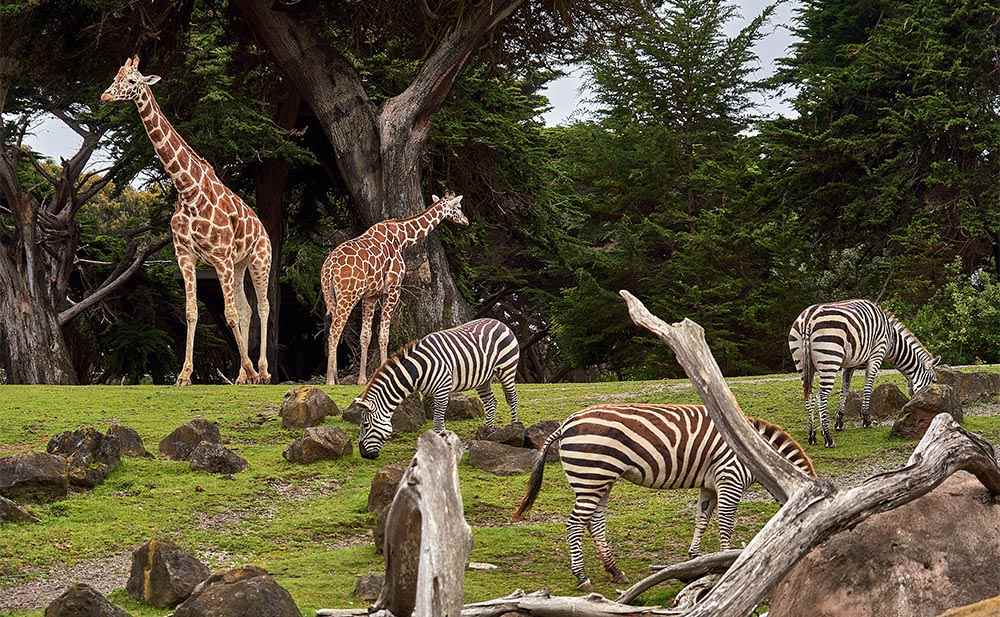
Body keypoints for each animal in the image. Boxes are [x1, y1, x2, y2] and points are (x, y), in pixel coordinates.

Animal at [101, 56, 272, 385]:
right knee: (247, 308)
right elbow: (193, 311)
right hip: (240, 264)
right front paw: (184, 374)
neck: (187, 188)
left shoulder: (220, 257)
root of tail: (262, 228)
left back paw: (263, 371)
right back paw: (244, 376)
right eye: (116, 76)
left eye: (132, 81)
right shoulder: (186, 255)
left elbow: (229, 313)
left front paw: (248, 369)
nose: (105, 96)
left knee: (262, 306)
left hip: (259, 259)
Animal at [321, 193, 468, 385]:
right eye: (458, 207)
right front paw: (384, 371)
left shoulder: (371, 295)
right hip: (349, 295)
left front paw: (362, 379)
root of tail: (328, 268)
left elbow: (365, 336)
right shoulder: (393, 289)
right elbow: (384, 335)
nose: (466, 220)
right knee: (335, 331)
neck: (402, 237)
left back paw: (335, 377)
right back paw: (330, 380)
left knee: (332, 330)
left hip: (332, 295)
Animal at [346, 318, 521, 459]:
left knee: (512, 397)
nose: (363, 455)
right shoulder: (429, 394)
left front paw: (440, 446)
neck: (417, 371)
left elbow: (437, 420)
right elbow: (437, 419)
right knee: (491, 402)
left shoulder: (442, 390)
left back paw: (514, 429)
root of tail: (500, 322)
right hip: (483, 378)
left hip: (507, 368)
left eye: (365, 425)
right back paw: (487, 431)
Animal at [512, 403, 814, 590]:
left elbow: (702, 518)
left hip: (597, 480)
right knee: (574, 524)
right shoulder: (730, 479)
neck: (758, 455)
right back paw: (582, 576)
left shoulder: (710, 485)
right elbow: (725, 524)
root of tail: (567, 423)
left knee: (594, 522)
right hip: (592, 474)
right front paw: (728, 561)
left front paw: (695, 557)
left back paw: (614, 570)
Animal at [788, 299, 939, 448]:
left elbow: (845, 390)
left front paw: (839, 422)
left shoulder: (850, 364)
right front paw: (866, 419)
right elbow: (868, 387)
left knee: (808, 395)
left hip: (802, 362)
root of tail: (807, 319)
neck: (891, 339)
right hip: (830, 358)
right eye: (933, 381)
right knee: (821, 396)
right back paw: (828, 438)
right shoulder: (876, 354)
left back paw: (811, 435)